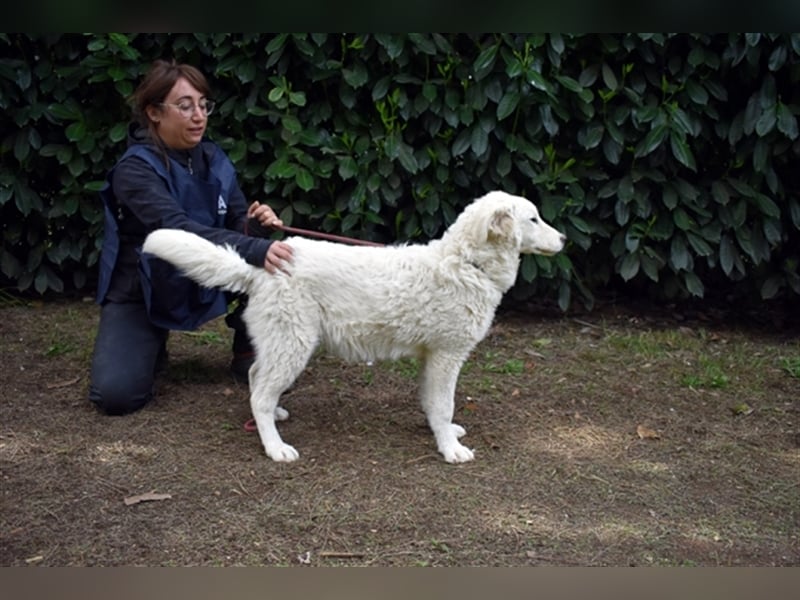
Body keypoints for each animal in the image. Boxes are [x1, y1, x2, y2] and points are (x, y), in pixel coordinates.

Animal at [144, 192, 568, 464]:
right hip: (294, 344)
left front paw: (443, 433)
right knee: (259, 395)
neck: (468, 264)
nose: (565, 238)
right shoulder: (447, 355)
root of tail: (262, 265)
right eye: (534, 218)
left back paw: (276, 416)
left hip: (280, 343)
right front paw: (450, 450)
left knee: (255, 378)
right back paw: (276, 449)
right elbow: (444, 404)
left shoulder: (432, 357)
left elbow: (433, 403)